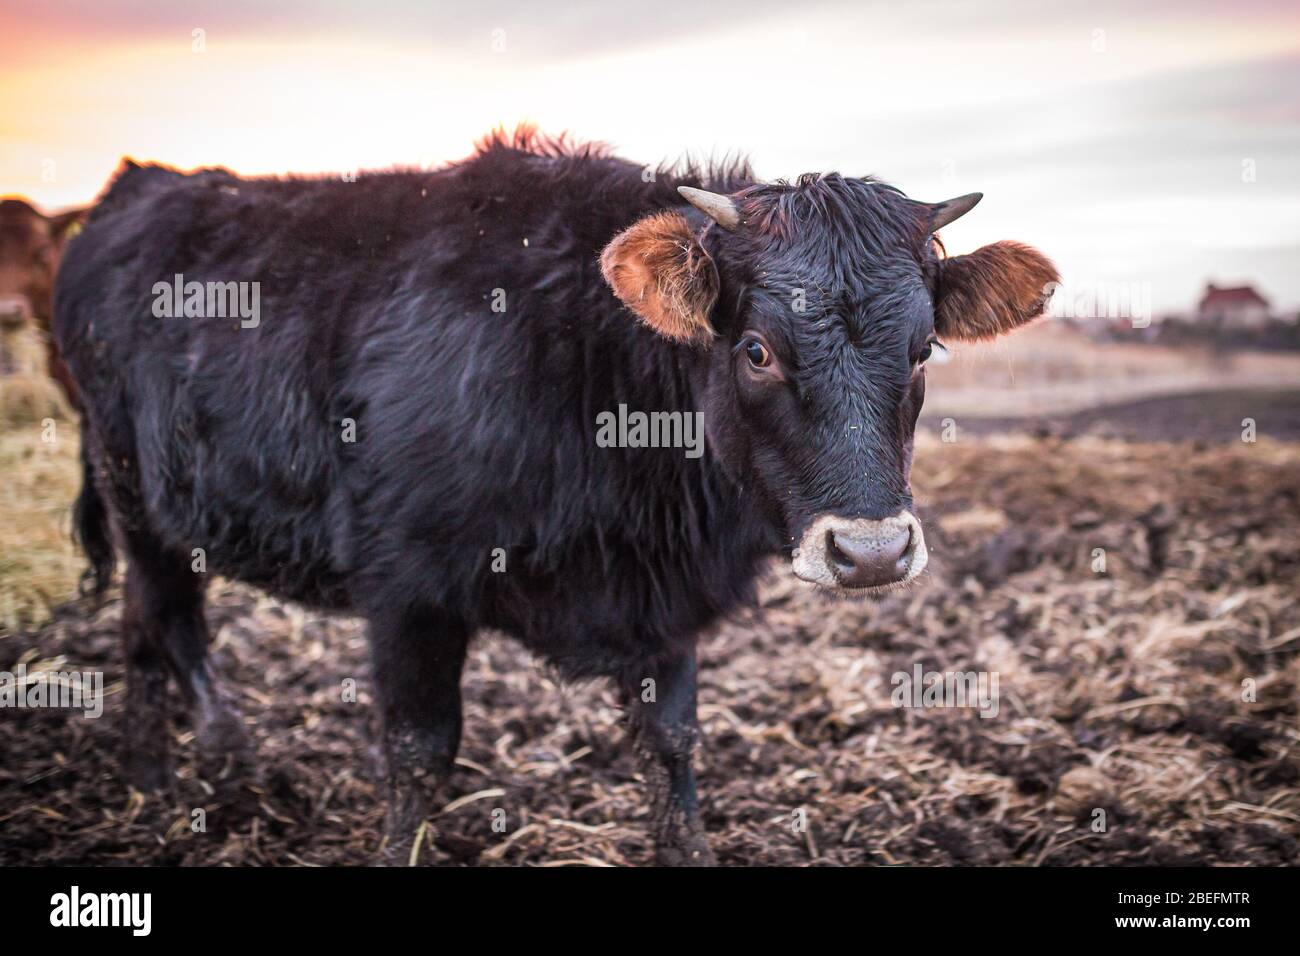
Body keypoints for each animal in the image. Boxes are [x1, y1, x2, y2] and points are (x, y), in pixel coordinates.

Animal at [54, 130, 1056, 865]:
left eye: (923, 350)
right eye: (757, 349)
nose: (873, 552)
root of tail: (140, 187)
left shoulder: (665, 605)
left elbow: (671, 745)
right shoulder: (407, 589)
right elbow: (419, 754)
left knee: (140, 628)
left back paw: (150, 774)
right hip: (137, 493)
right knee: (170, 618)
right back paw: (221, 758)